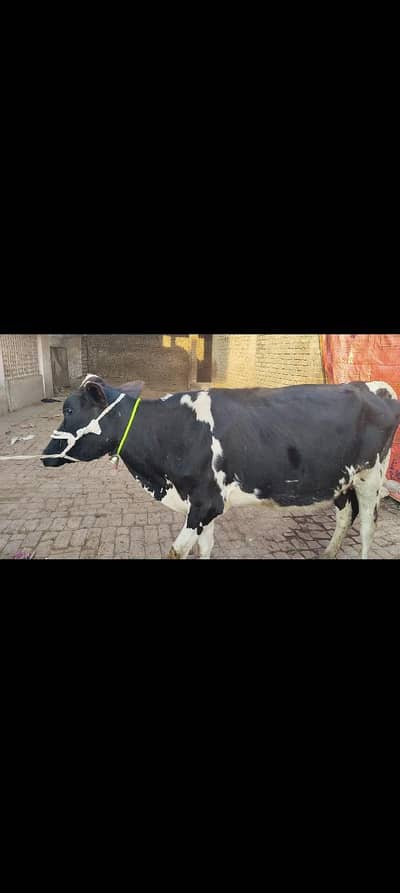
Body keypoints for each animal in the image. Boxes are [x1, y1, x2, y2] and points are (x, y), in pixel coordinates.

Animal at [41, 374, 400, 559]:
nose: (44, 455)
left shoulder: (205, 503)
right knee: (345, 515)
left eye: (69, 410)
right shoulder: (204, 504)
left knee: (367, 526)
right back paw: (328, 552)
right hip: (341, 479)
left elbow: (177, 552)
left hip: (371, 477)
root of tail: (372, 385)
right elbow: (204, 548)